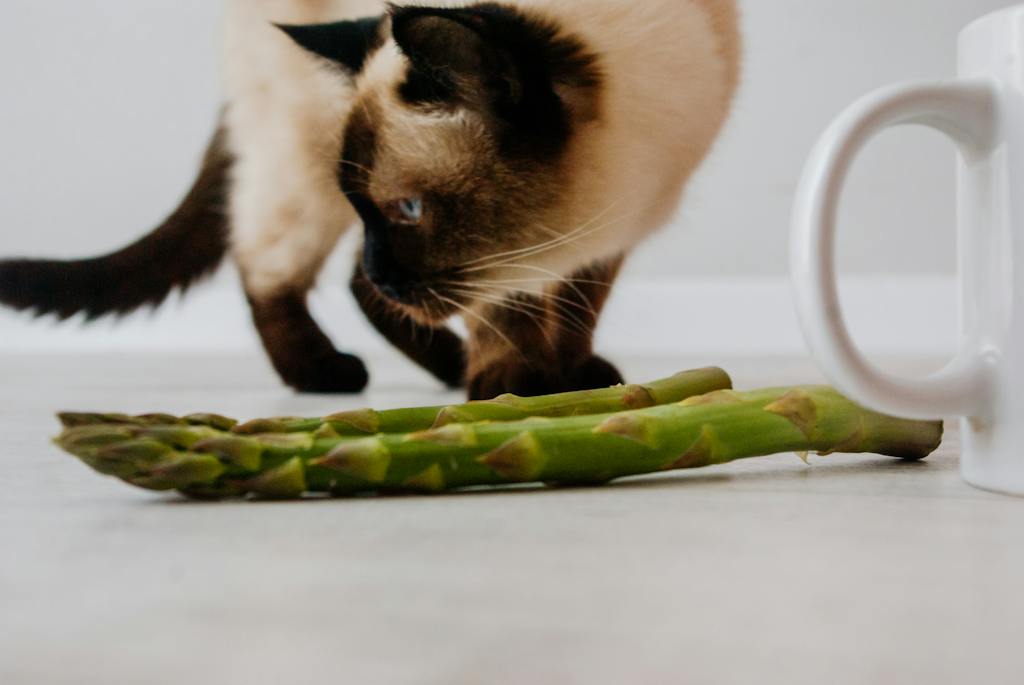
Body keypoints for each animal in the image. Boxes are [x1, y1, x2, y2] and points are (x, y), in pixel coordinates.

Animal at [0, 0, 741, 397]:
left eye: (407, 211)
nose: (385, 266)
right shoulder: (496, 262)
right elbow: (509, 309)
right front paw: (517, 386)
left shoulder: (611, 231)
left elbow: (580, 304)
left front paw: (574, 372)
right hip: (297, 162)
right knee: (271, 269)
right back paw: (329, 371)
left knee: (353, 288)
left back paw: (445, 363)